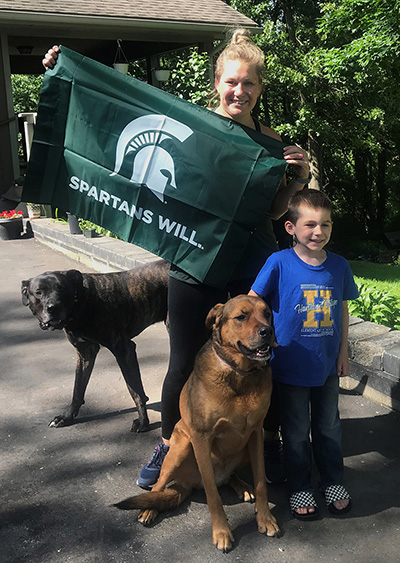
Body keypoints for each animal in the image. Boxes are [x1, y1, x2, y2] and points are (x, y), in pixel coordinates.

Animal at [21, 260, 169, 432]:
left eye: (62, 289)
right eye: (38, 292)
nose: (54, 306)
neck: (80, 301)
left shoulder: (124, 350)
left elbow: (134, 390)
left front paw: (143, 422)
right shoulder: (85, 352)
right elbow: (78, 388)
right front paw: (66, 417)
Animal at [114, 298, 280, 552]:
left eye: (268, 314)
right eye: (241, 317)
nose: (268, 331)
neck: (239, 374)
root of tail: (186, 485)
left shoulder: (255, 433)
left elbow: (261, 482)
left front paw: (265, 519)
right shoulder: (201, 437)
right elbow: (213, 495)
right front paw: (221, 532)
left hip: (242, 450)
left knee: (230, 477)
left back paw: (242, 486)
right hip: (181, 446)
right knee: (159, 486)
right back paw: (149, 509)